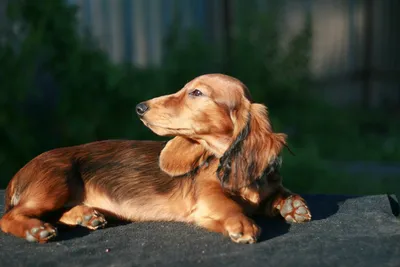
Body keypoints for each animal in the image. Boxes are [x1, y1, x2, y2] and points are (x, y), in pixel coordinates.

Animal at [0, 74, 310, 245]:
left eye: (197, 92)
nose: (140, 107)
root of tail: (19, 173)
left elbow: (278, 194)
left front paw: (292, 204)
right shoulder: (206, 197)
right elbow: (228, 205)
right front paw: (241, 223)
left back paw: (86, 215)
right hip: (55, 182)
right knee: (10, 217)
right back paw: (36, 230)